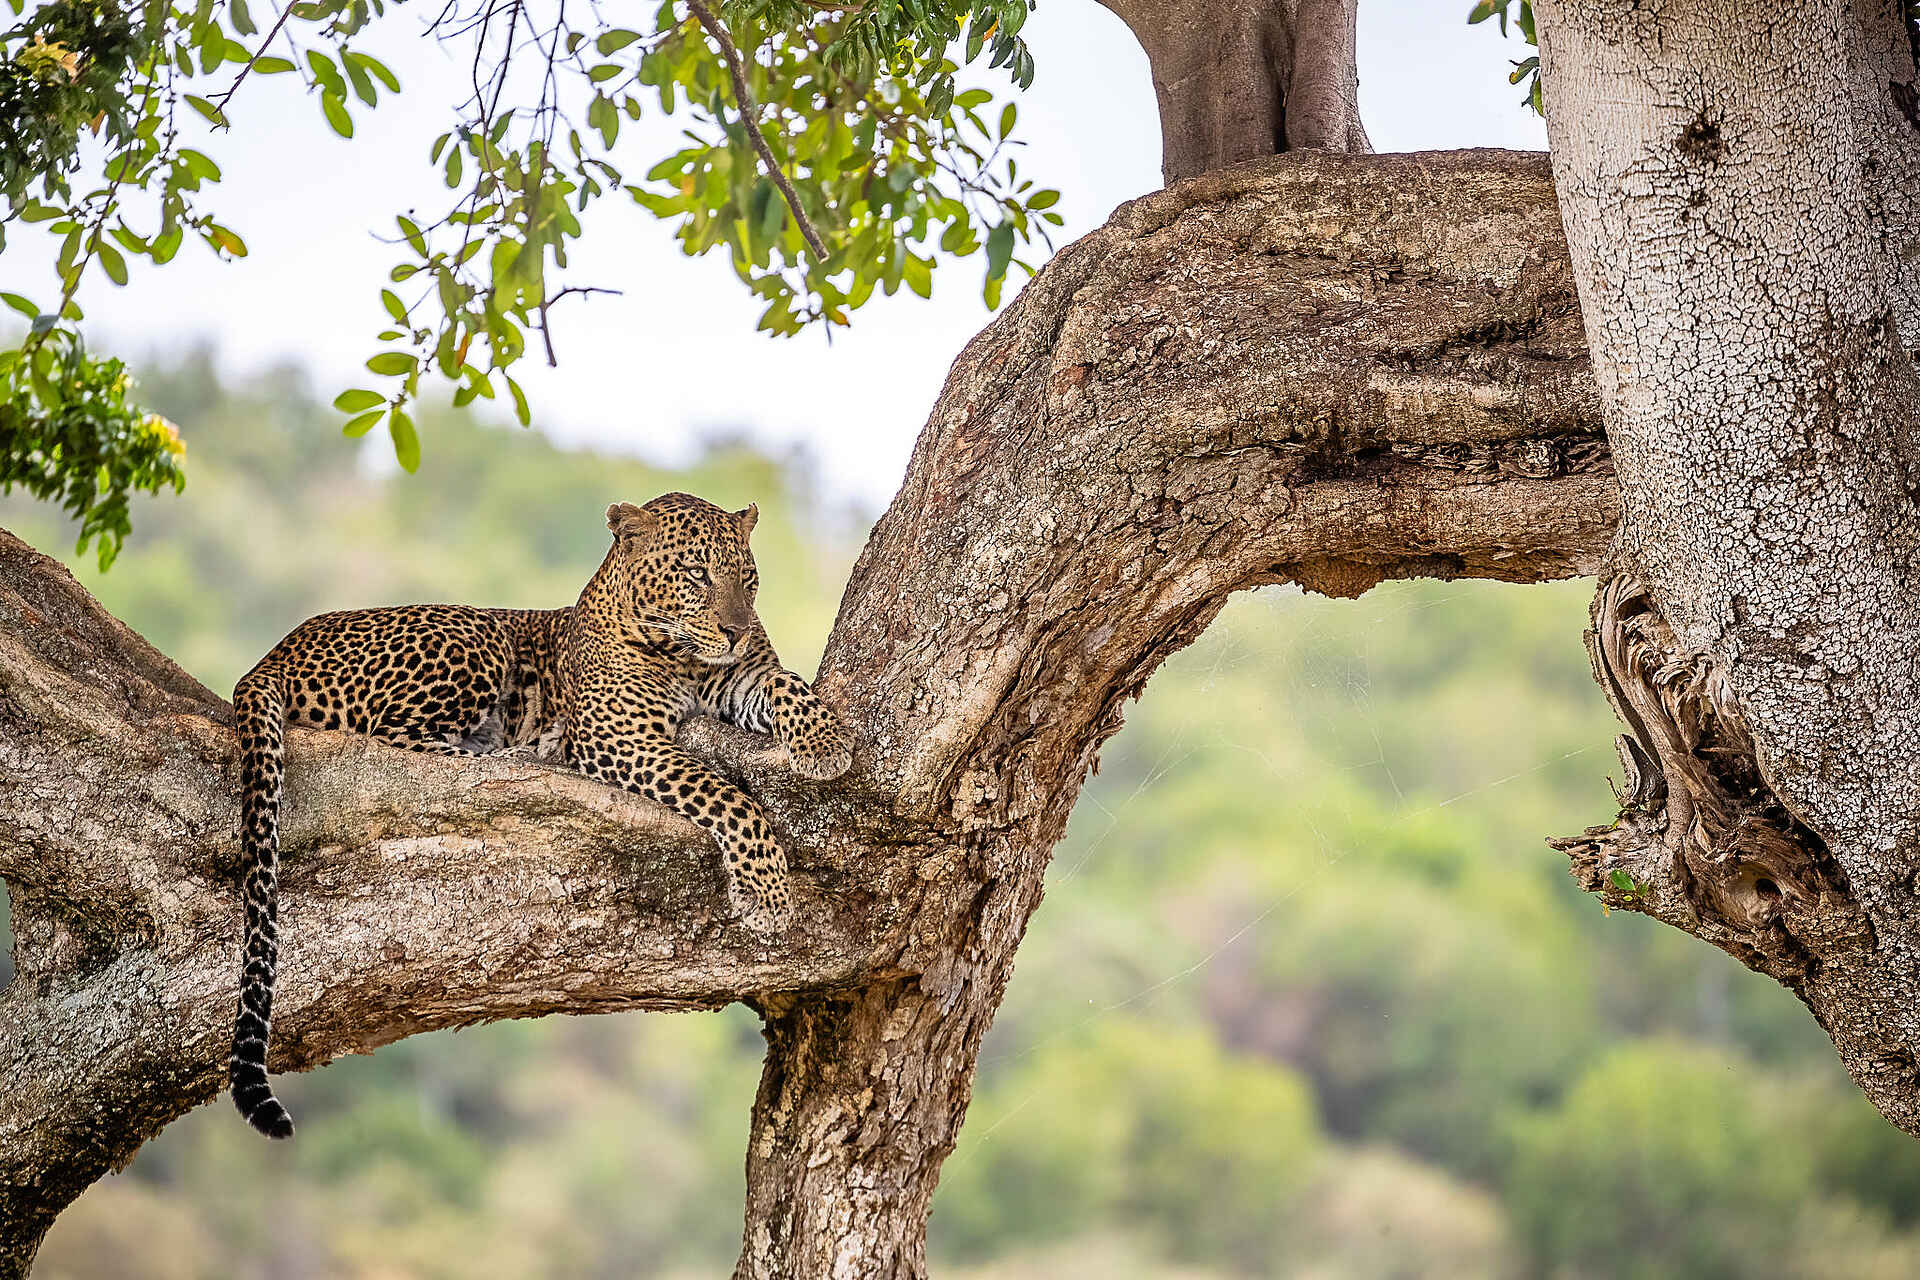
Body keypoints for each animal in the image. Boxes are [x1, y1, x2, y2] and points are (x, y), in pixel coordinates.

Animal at [227, 492, 851, 1140]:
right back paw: (530, 752)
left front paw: (825, 741)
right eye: (698, 574)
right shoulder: (620, 738)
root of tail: (276, 650)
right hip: (472, 635)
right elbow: (724, 794)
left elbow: (789, 685)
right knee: (396, 737)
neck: (684, 659)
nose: (737, 630)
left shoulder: (746, 677)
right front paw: (767, 890)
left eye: (748, 580)